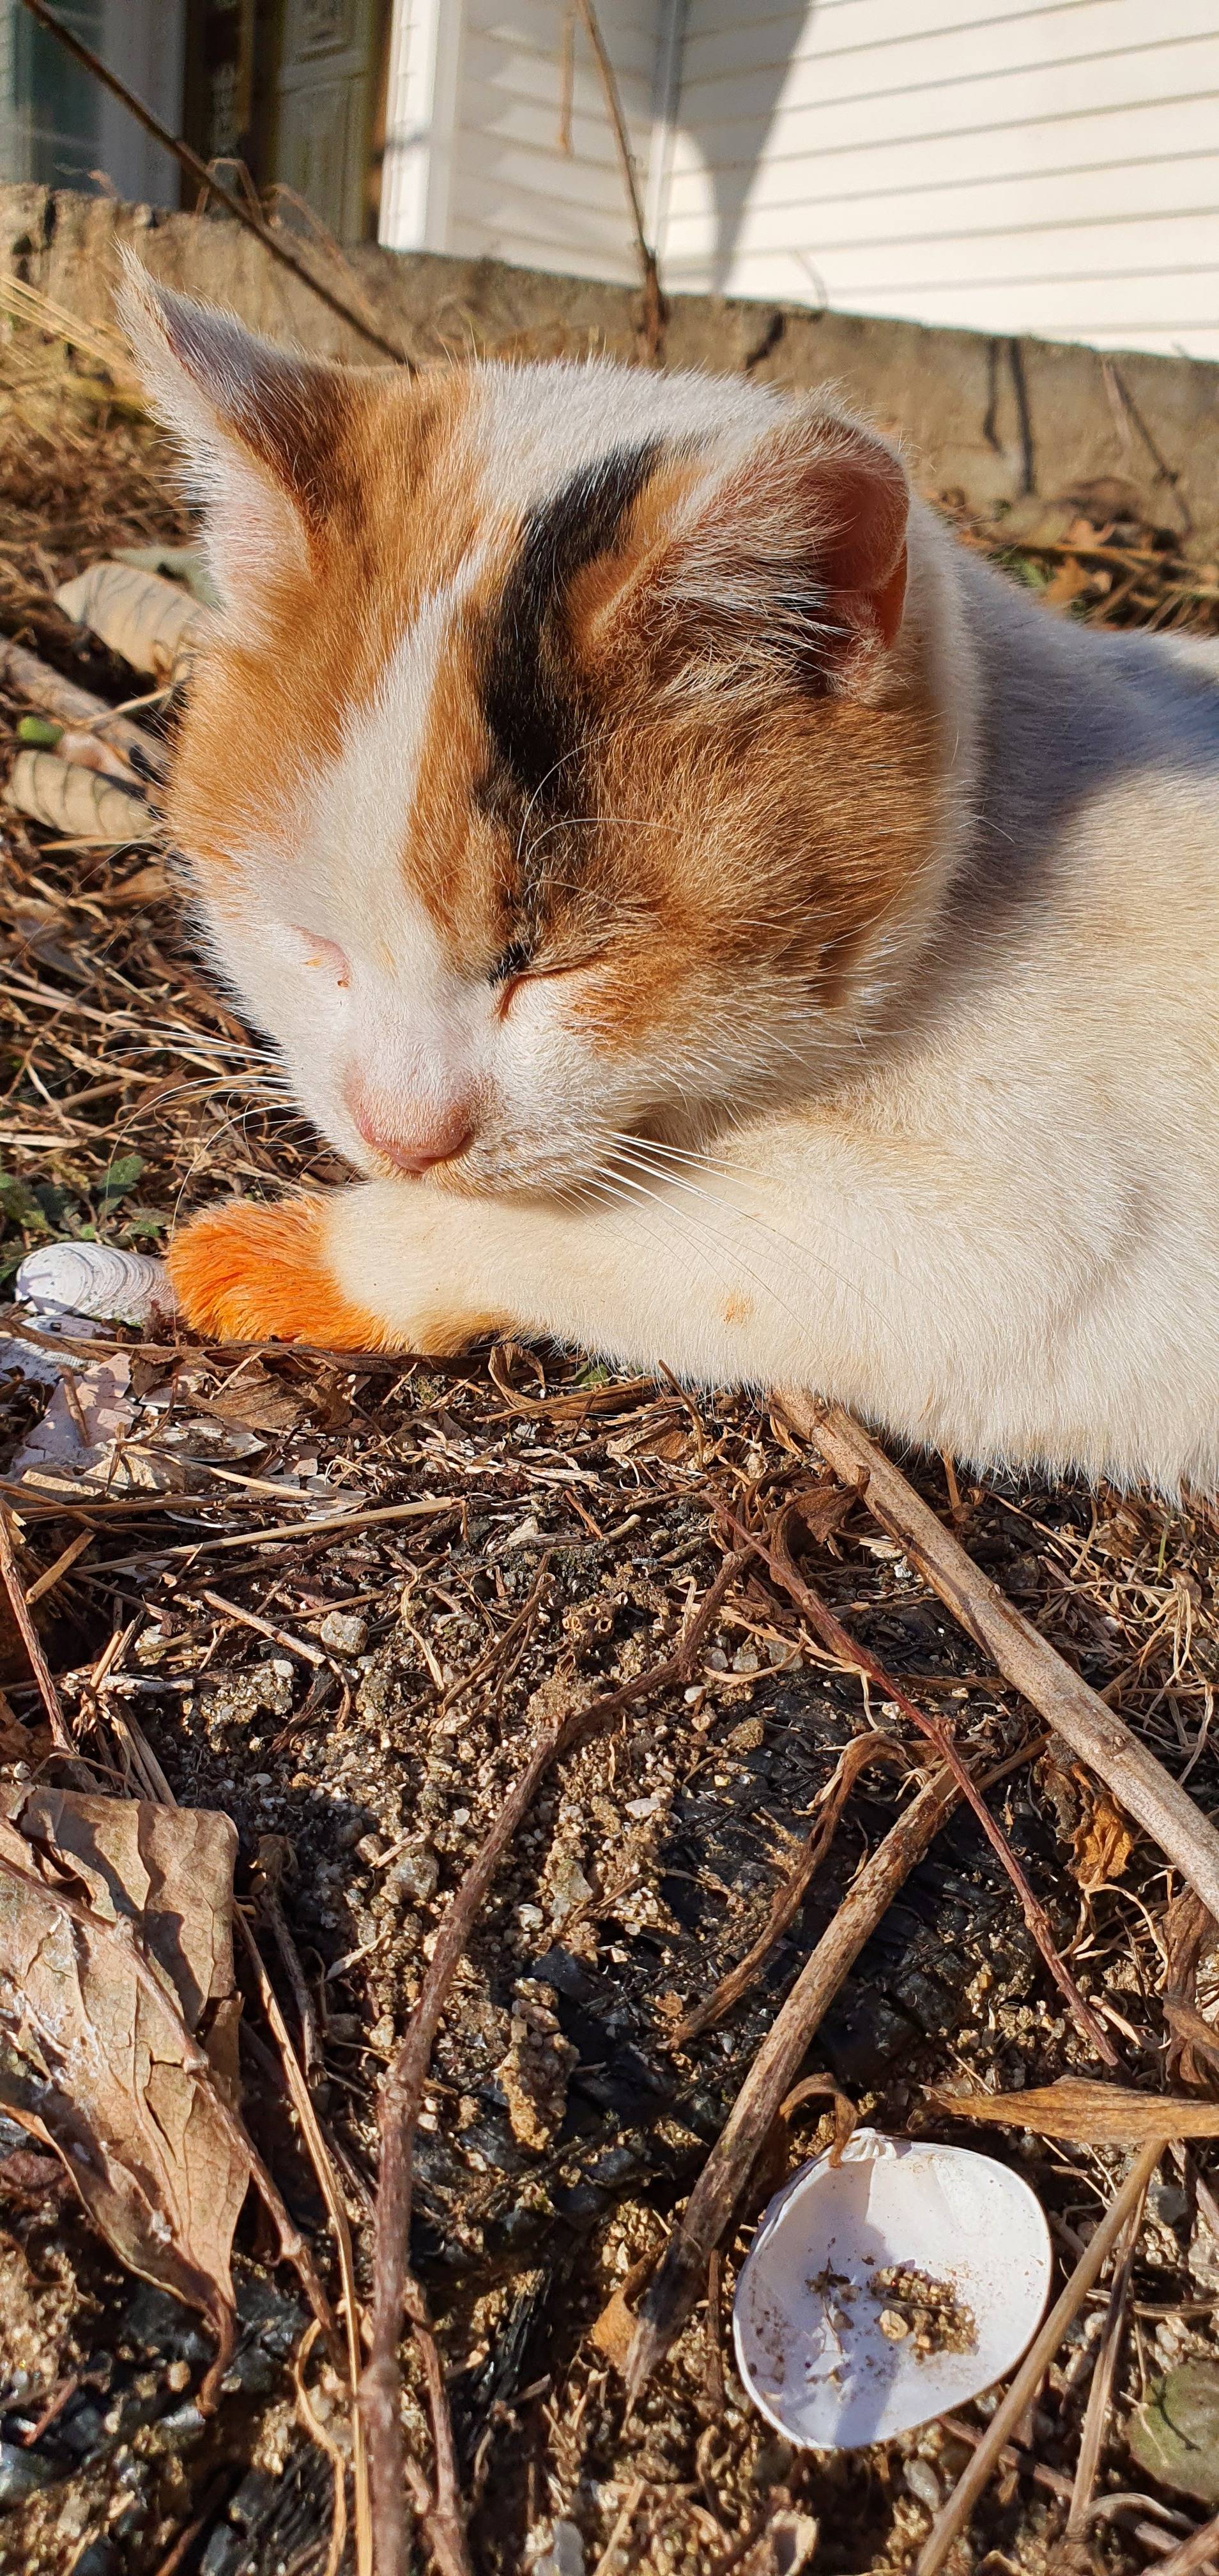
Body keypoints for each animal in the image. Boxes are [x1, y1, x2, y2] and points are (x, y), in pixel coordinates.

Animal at [121, 266, 1216, 1494]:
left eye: (555, 965)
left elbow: (608, 1227)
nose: (405, 1139)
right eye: (313, 945)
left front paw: (299, 1253)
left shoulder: (1050, 1247)